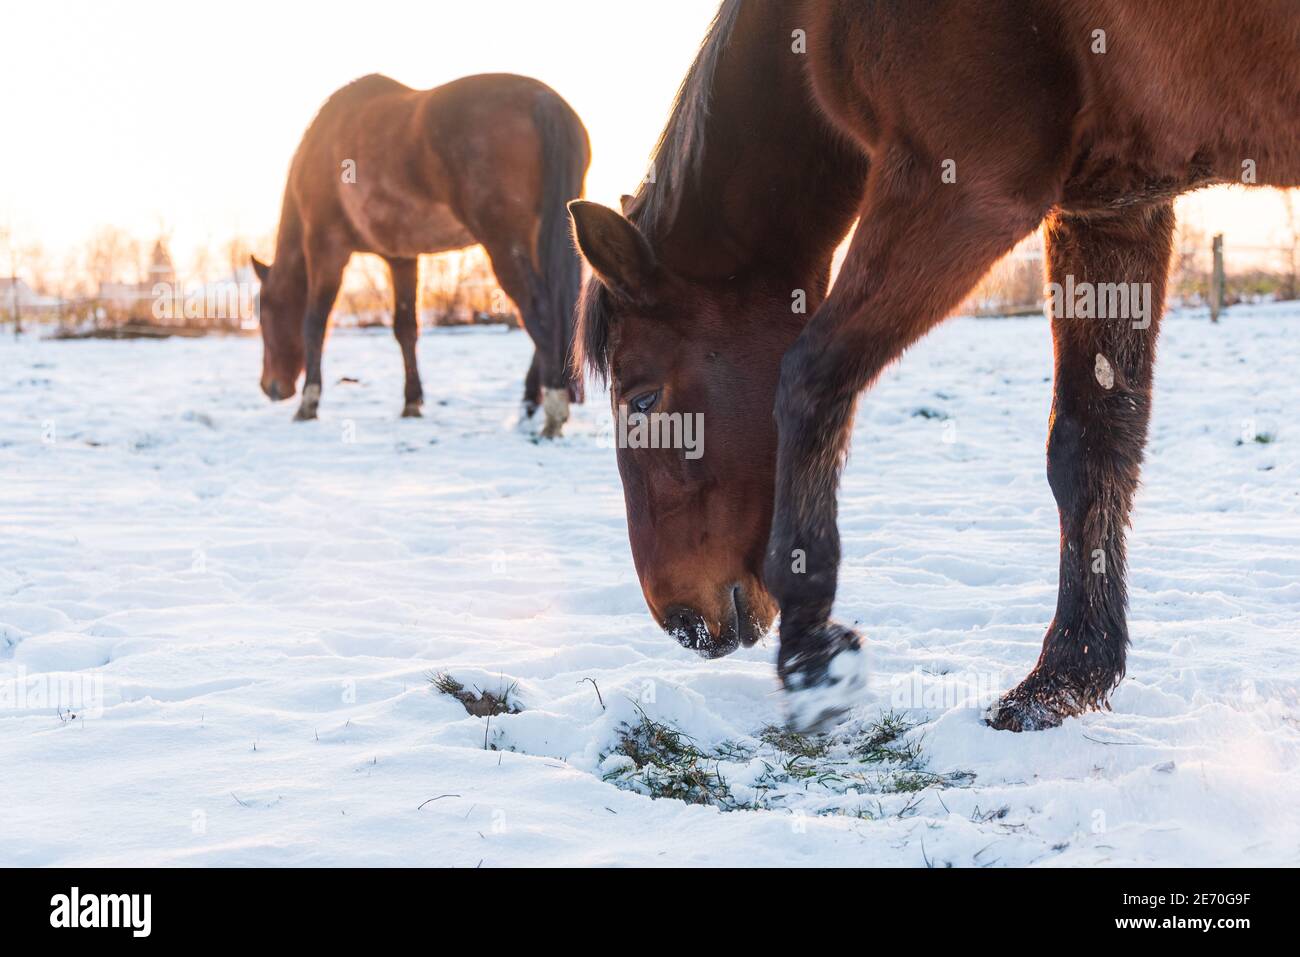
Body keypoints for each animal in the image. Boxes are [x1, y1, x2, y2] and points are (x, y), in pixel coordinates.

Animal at [253, 72, 590, 434]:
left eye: (265, 310)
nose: (270, 387)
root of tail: (544, 101)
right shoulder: (401, 258)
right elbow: (406, 329)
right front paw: (411, 401)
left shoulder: (325, 248)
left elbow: (314, 324)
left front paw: (308, 403)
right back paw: (531, 403)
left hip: (505, 246)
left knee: (540, 312)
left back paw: (552, 409)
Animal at [572, 1, 1300, 733]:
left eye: (642, 399)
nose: (681, 620)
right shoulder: (1113, 211)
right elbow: (1089, 444)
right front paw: (1064, 677)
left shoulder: (960, 190)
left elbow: (811, 379)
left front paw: (813, 655)